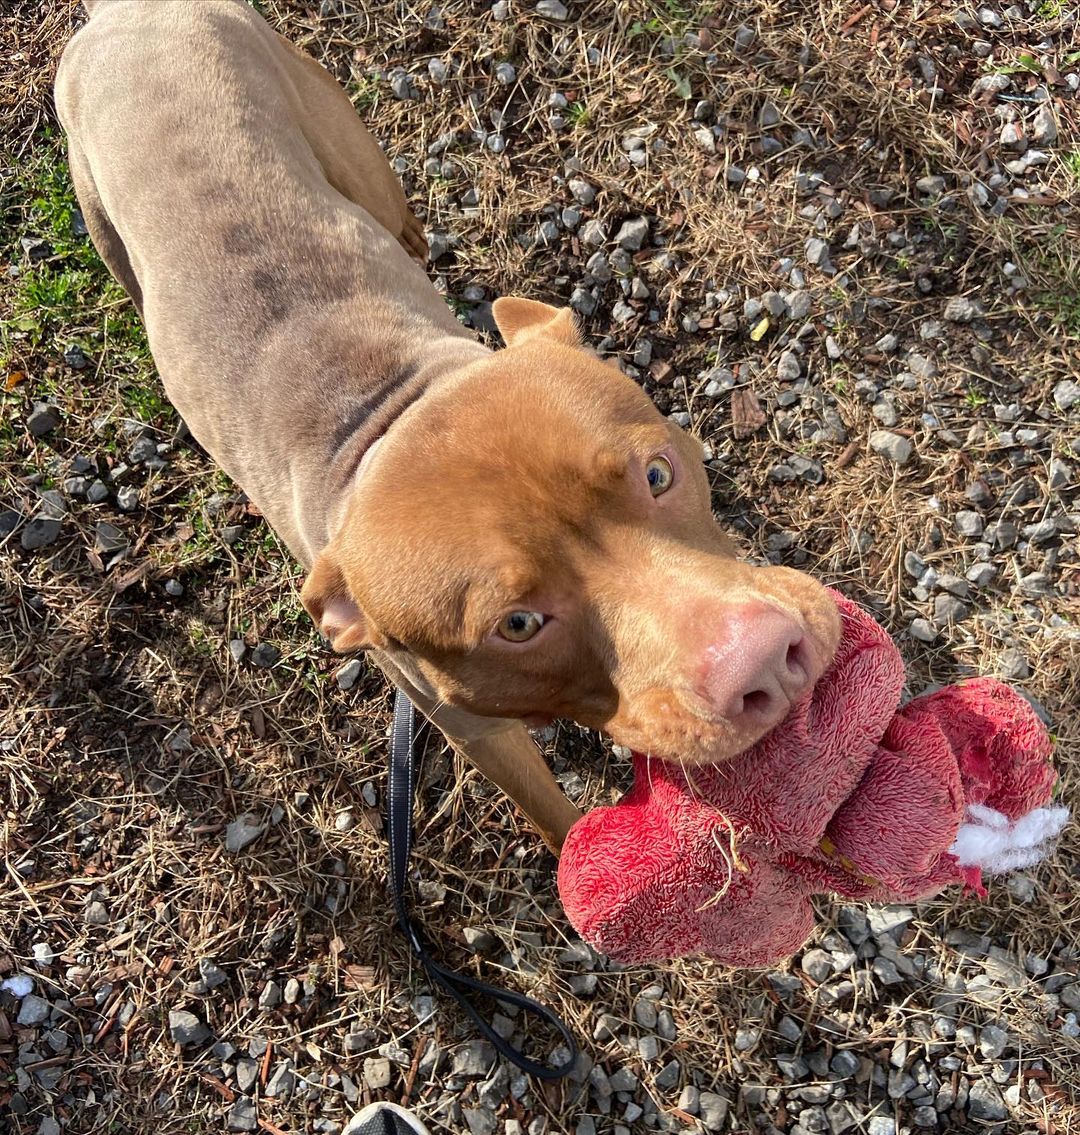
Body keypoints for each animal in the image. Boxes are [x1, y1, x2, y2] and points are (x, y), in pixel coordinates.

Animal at [52, 0, 844, 853]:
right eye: (518, 624)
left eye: (659, 474)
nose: (760, 663)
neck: (386, 407)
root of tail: (123, 12)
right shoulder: (475, 728)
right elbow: (551, 811)